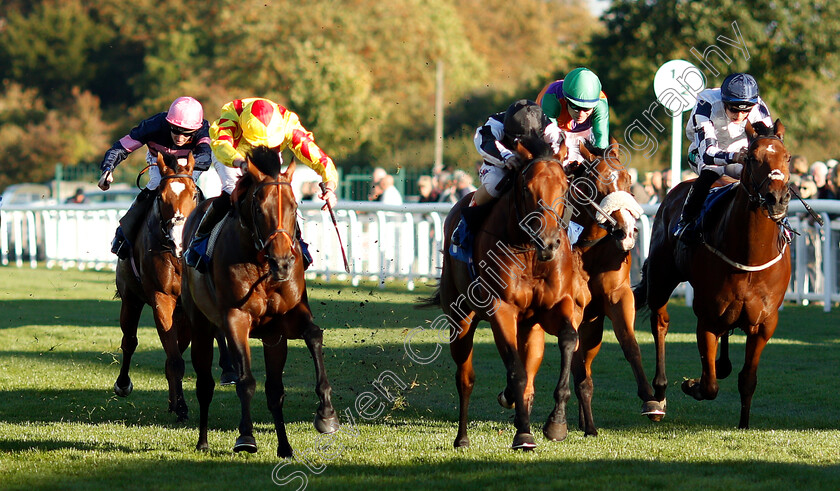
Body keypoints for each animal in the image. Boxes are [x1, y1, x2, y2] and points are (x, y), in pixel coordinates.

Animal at [182, 145, 340, 458]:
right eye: (258, 208)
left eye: (294, 207)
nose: (282, 262)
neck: (262, 264)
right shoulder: (236, 318)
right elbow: (246, 382)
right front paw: (245, 437)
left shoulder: (283, 324)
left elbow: (312, 338)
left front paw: (325, 416)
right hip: (201, 324)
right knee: (204, 383)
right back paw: (202, 441)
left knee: (272, 389)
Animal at [424, 137, 588, 450]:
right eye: (527, 188)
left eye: (564, 187)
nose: (548, 242)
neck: (531, 254)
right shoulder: (502, 309)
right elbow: (516, 370)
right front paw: (523, 434)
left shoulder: (557, 306)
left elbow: (568, 339)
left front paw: (556, 423)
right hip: (460, 319)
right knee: (465, 377)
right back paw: (462, 438)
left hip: (530, 327)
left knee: (530, 369)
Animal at [568, 138, 668, 434]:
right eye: (596, 183)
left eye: (627, 179)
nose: (626, 232)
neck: (587, 249)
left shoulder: (617, 296)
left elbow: (630, 344)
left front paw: (651, 400)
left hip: (593, 328)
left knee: (585, 362)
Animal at [636, 120, 796, 430]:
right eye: (751, 158)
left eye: (787, 157)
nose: (777, 199)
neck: (749, 256)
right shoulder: (707, 316)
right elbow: (709, 385)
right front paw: (691, 385)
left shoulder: (765, 323)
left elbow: (747, 380)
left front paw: (744, 424)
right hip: (661, 278)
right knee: (660, 323)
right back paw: (658, 396)